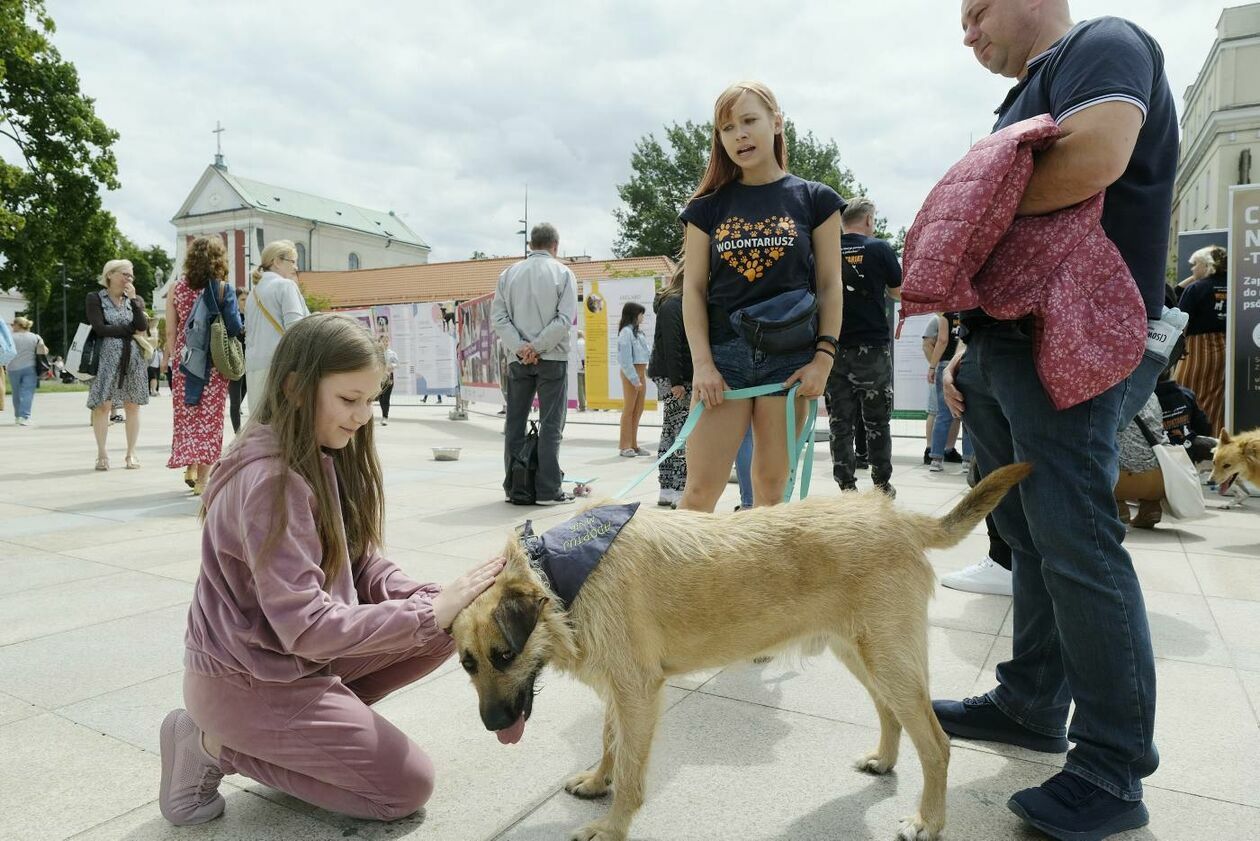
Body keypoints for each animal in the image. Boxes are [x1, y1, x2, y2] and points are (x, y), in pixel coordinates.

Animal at [453, 464, 1033, 837]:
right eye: (468, 663)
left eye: (503, 655)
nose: (490, 725)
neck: (556, 573)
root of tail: (897, 516)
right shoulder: (621, 691)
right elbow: (610, 742)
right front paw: (599, 781)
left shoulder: (637, 690)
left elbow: (633, 771)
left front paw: (614, 825)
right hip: (863, 655)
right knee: (888, 712)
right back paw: (884, 760)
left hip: (890, 659)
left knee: (936, 744)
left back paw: (928, 822)